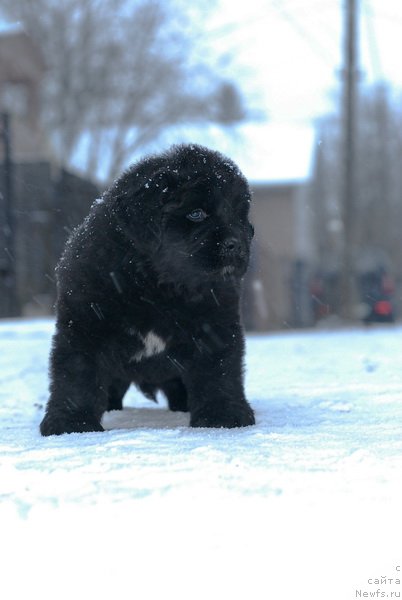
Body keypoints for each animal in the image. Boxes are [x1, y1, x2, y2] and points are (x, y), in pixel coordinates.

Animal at [40, 145, 254, 436]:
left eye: (239, 215)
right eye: (196, 213)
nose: (237, 244)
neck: (157, 286)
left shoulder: (216, 324)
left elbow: (220, 371)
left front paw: (223, 416)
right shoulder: (85, 324)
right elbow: (76, 373)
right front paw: (72, 423)